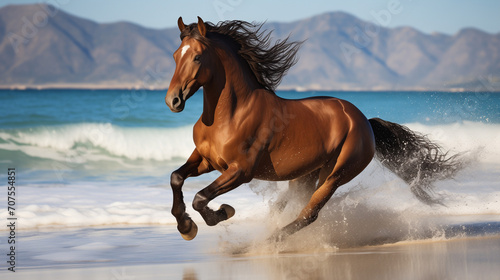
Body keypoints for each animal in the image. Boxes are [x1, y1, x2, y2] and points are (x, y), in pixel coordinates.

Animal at [164, 17, 460, 241]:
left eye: (198, 57)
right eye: (176, 55)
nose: (173, 100)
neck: (231, 115)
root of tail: (364, 120)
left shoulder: (240, 171)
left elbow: (200, 197)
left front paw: (222, 212)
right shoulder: (206, 160)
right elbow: (176, 178)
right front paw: (186, 226)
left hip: (335, 175)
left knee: (308, 214)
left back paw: (270, 242)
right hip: (305, 174)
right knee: (288, 205)